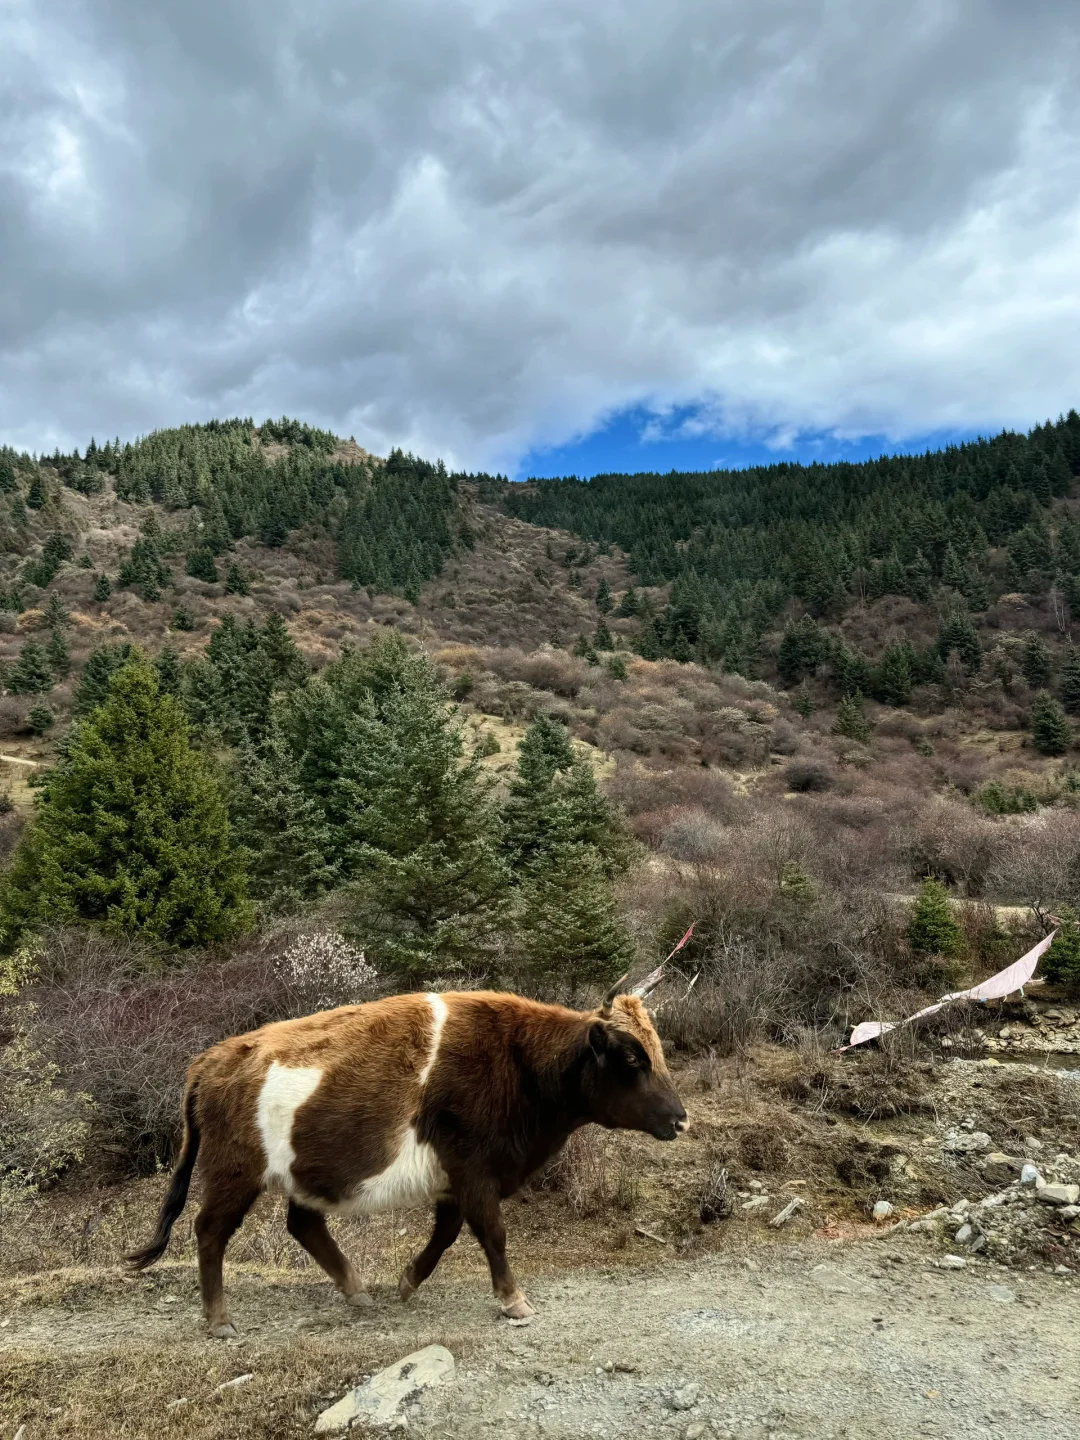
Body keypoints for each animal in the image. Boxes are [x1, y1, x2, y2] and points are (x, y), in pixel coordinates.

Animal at [124, 967, 685, 1336]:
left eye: (658, 1050)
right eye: (631, 1057)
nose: (680, 1118)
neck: (519, 1059)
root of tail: (209, 1060)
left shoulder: (456, 1179)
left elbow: (448, 1232)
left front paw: (408, 1282)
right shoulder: (473, 1169)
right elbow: (492, 1233)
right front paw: (513, 1300)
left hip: (299, 1176)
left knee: (303, 1225)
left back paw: (357, 1290)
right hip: (233, 1174)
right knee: (210, 1231)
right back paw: (219, 1319)